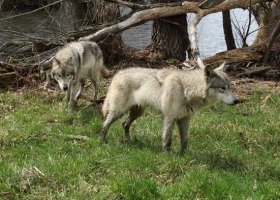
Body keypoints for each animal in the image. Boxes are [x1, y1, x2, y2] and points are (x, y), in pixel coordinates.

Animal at [100, 61, 238, 151]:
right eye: (222, 88)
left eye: (230, 87)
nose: (237, 101)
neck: (186, 89)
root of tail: (117, 74)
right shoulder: (169, 117)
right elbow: (167, 139)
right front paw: (167, 154)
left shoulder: (185, 119)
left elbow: (185, 140)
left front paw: (184, 154)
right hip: (119, 111)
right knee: (105, 124)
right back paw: (103, 141)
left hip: (137, 113)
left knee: (125, 124)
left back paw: (129, 141)